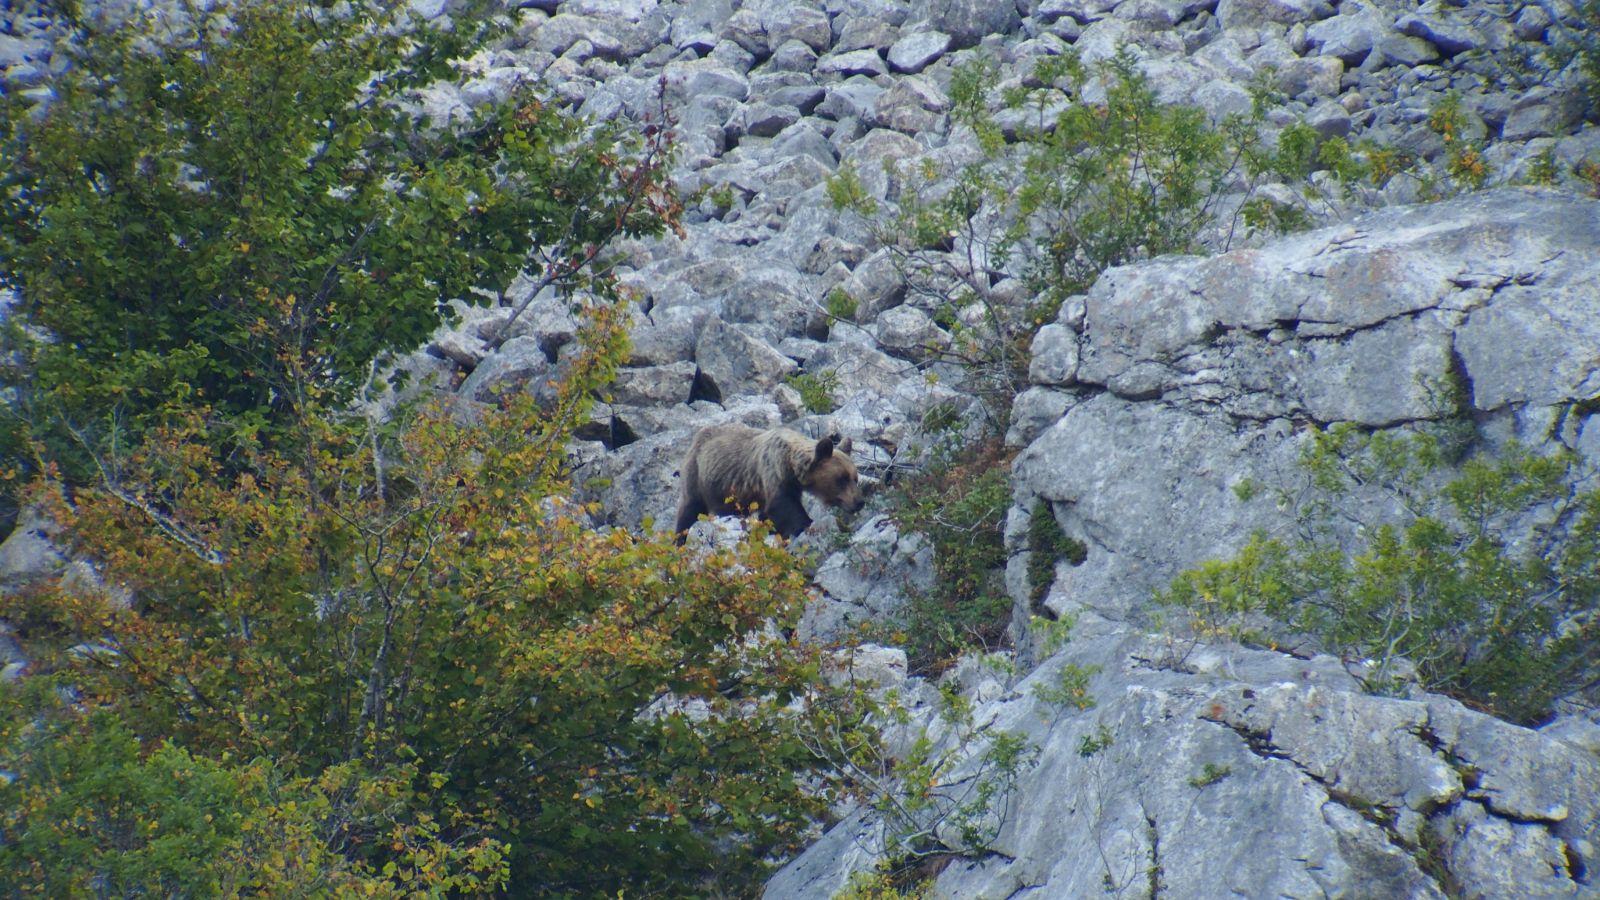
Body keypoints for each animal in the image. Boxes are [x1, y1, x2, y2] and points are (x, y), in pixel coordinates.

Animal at [678, 422, 870, 534]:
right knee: (689, 510)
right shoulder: (773, 472)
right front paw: (806, 524)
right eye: (841, 478)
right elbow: (783, 505)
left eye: (855, 478)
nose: (859, 501)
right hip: (697, 474)